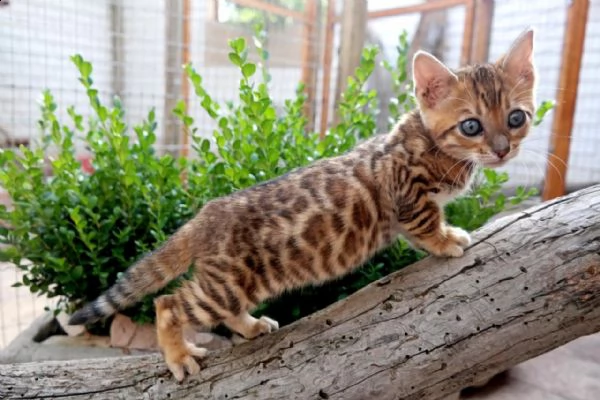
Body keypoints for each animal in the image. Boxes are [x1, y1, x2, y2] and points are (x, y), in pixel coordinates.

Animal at [71, 28, 540, 382]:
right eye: (471, 126)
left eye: (516, 118)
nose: (502, 150)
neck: (427, 140)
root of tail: (205, 216)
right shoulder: (408, 192)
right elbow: (426, 223)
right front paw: (447, 239)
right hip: (229, 282)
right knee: (169, 304)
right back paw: (179, 355)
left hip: (236, 282)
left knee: (221, 309)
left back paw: (250, 326)